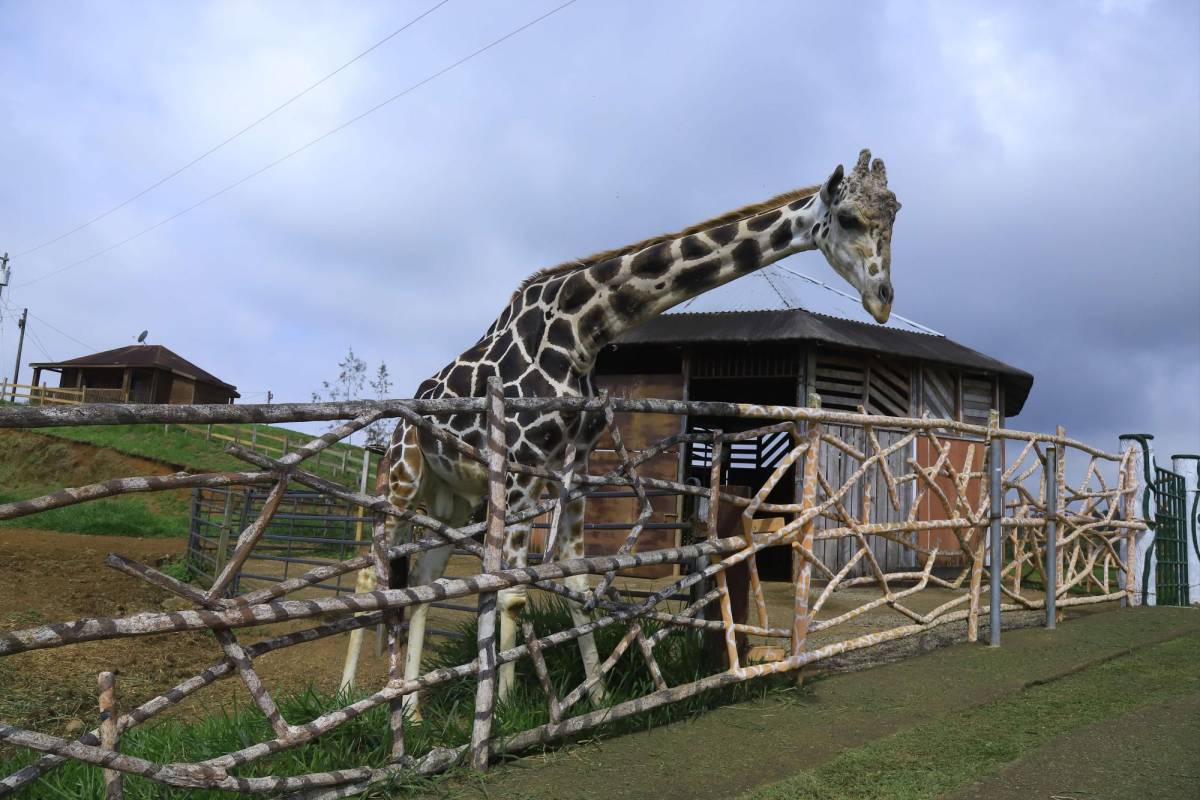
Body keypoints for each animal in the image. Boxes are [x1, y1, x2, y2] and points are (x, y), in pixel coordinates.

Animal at [338, 149, 902, 719]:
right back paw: (349, 696)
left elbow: (577, 579)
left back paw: (412, 711)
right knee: (370, 574)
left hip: (451, 498)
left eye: (894, 215)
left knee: (424, 580)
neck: (583, 331)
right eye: (848, 218)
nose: (882, 300)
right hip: (402, 480)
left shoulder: (573, 468)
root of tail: (401, 422)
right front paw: (503, 713)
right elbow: (510, 592)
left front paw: (597, 698)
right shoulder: (522, 466)